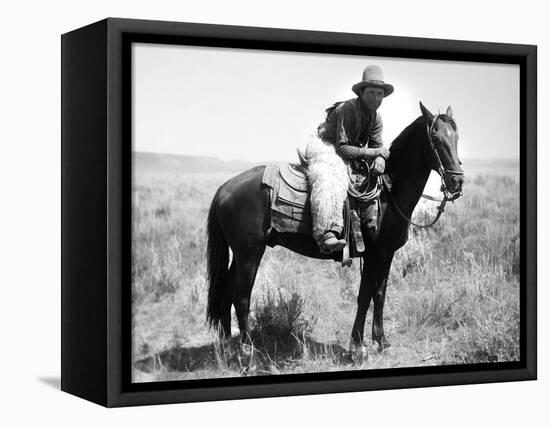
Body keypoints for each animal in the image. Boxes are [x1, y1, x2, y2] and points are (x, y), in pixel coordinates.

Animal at [205, 102, 464, 360]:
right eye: (435, 137)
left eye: (456, 137)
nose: (457, 182)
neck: (389, 192)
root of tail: (224, 188)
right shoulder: (374, 254)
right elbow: (364, 296)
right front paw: (357, 348)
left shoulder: (387, 254)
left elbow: (380, 294)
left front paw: (381, 341)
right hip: (249, 254)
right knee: (241, 297)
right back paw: (248, 354)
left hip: (240, 255)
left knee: (226, 292)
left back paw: (228, 346)